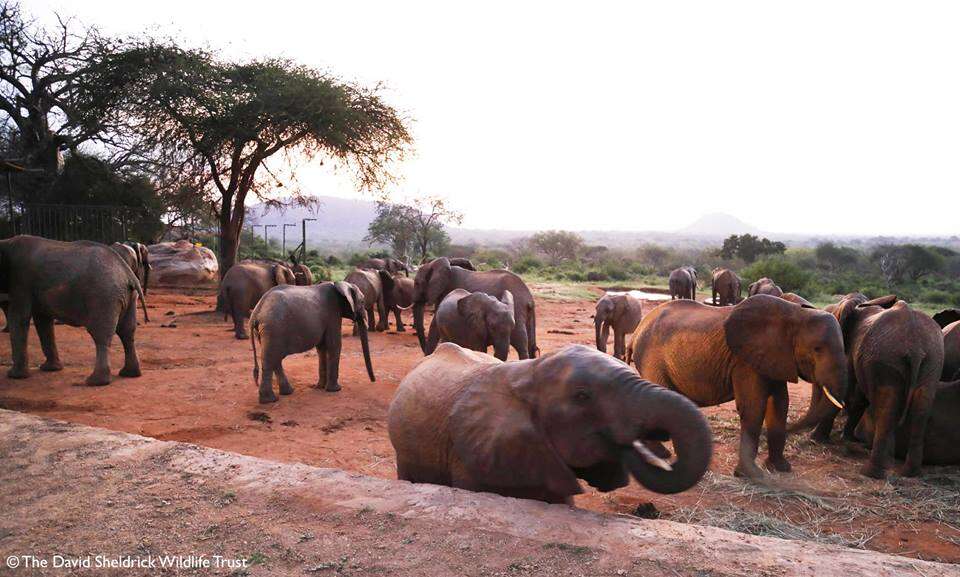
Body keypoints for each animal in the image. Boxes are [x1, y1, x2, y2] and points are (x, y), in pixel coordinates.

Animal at [0, 234, 148, 388]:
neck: (6, 242)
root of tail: (128, 274)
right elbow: (43, 321)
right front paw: (50, 369)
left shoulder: (20, 281)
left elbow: (18, 318)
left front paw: (14, 376)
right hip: (128, 296)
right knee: (127, 332)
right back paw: (129, 374)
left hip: (104, 296)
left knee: (101, 334)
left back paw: (95, 382)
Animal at [248, 282, 376, 402]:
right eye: (362, 301)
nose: (373, 380)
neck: (339, 285)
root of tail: (256, 312)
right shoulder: (333, 313)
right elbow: (334, 345)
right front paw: (335, 390)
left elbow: (322, 348)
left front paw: (320, 387)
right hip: (273, 329)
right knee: (270, 359)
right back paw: (270, 400)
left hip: (264, 331)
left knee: (275, 359)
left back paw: (287, 392)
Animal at [796, 292, 944, 476]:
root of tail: (916, 349)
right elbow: (859, 399)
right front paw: (848, 439)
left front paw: (817, 439)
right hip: (932, 361)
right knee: (920, 411)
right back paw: (909, 472)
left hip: (886, 360)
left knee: (886, 410)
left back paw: (870, 472)